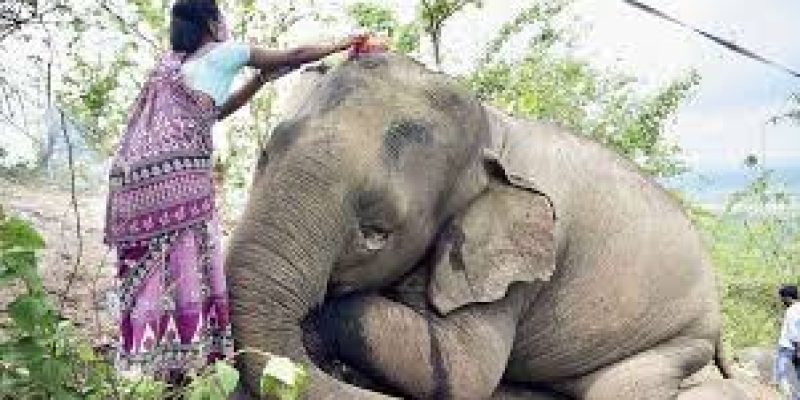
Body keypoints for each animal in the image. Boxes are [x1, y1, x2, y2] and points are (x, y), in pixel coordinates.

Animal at [224, 53, 746, 399]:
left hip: (682, 337)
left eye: (377, 231)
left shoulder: (515, 273)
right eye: (264, 157)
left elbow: (464, 370)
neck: (495, 130)